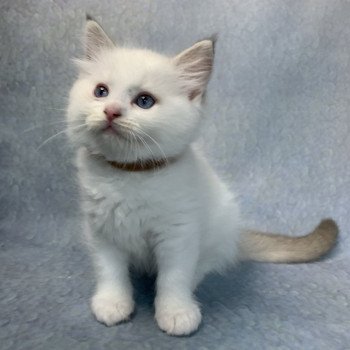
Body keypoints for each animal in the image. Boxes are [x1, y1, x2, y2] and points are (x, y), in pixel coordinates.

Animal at [65, 17, 336, 334]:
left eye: (144, 101)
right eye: (101, 92)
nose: (110, 111)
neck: (130, 174)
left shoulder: (178, 233)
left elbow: (174, 277)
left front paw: (175, 312)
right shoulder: (101, 231)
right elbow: (110, 272)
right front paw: (112, 303)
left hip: (218, 228)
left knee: (201, 267)